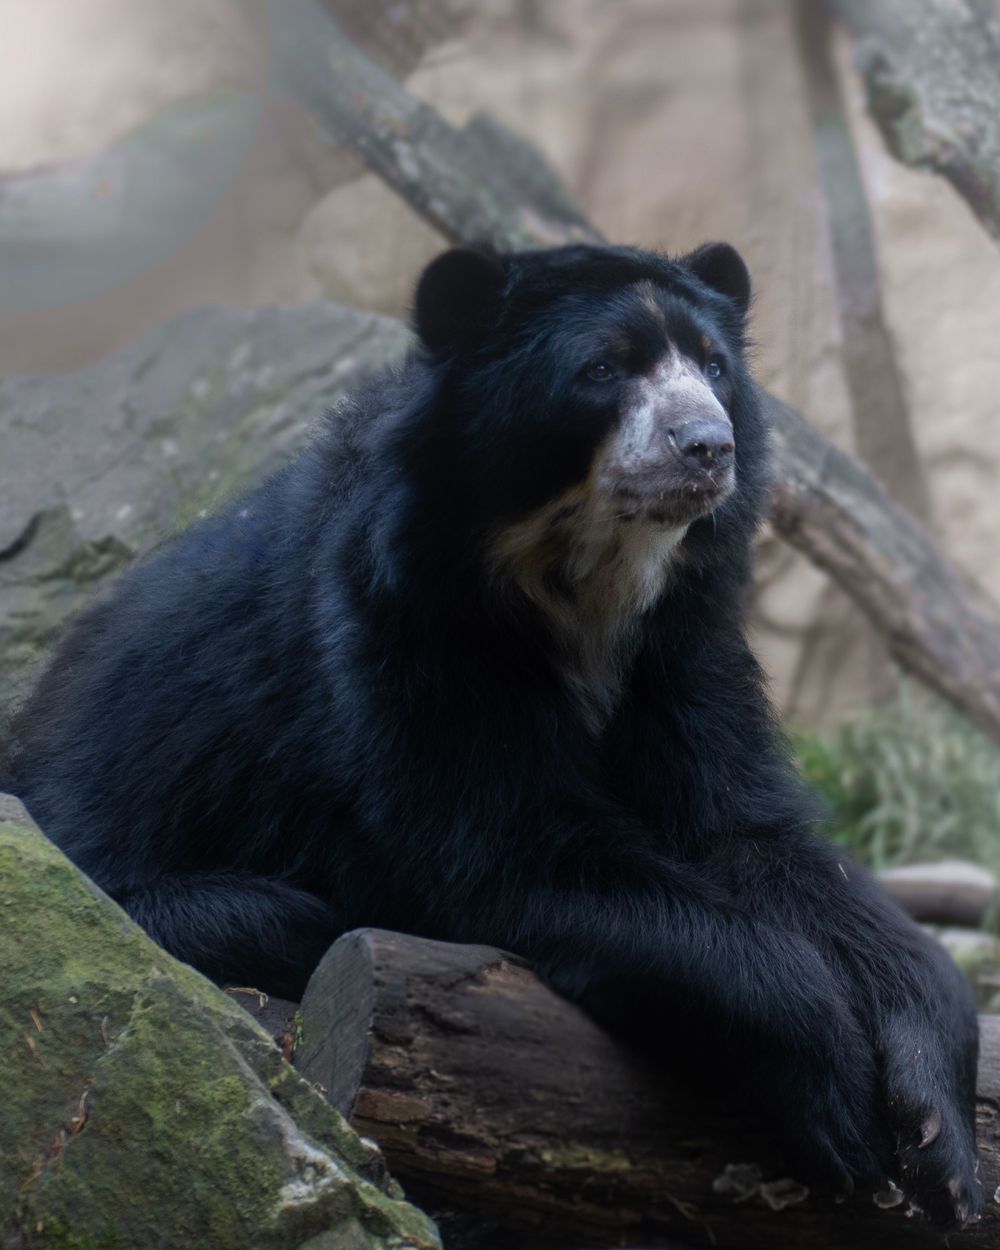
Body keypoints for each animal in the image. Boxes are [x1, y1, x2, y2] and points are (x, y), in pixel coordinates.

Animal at [3, 241, 980, 1225]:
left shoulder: (683, 645)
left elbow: (754, 836)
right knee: (282, 915)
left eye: (713, 368)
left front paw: (939, 1132)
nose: (709, 446)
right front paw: (834, 1089)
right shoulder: (403, 641)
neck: (583, 582)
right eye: (602, 370)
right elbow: (507, 852)